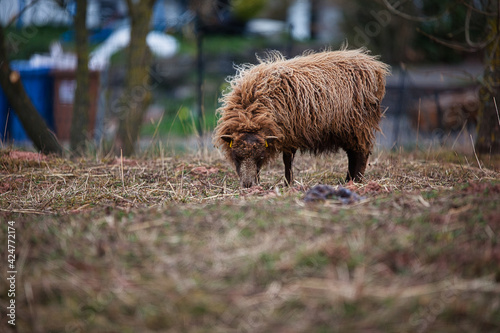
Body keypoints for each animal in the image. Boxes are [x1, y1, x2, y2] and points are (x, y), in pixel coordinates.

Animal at [213, 47, 388, 187]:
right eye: (236, 156)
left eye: (261, 157)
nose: (248, 185)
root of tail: (375, 66)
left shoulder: (289, 133)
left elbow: (287, 161)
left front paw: (287, 184)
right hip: (347, 129)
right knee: (352, 154)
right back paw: (348, 180)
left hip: (359, 125)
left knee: (361, 153)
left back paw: (356, 181)